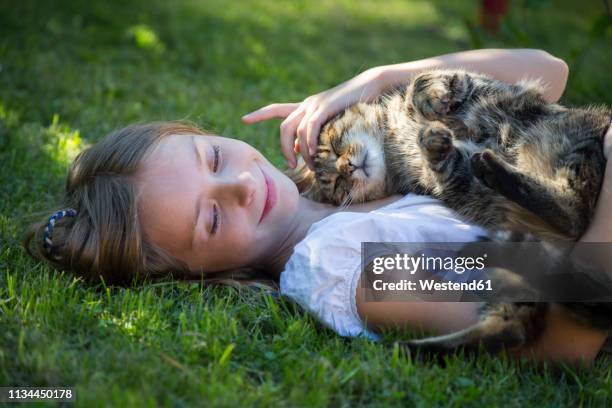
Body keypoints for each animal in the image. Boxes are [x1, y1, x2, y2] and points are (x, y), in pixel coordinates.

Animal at [290, 69, 612, 356]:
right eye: (337, 184)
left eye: (335, 147)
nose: (347, 168)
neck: (393, 143)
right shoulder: (448, 180)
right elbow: (445, 162)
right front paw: (433, 141)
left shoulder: (475, 84)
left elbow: (424, 81)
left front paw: (431, 101)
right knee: (517, 324)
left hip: (571, 139)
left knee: (575, 213)